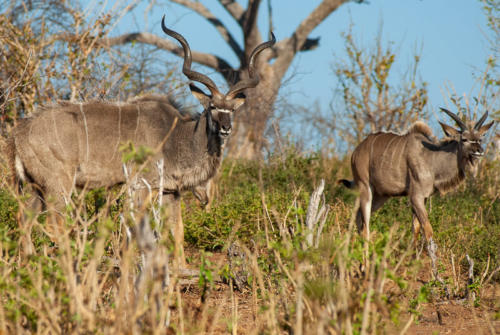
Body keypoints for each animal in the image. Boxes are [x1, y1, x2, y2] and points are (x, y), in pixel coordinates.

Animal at [3, 15, 276, 262]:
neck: (176, 136)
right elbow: (136, 232)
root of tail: (19, 132)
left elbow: (177, 231)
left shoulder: (169, 191)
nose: (226, 128)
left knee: (24, 220)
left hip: (36, 188)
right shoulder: (141, 186)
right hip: (59, 185)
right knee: (55, 224)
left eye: (231, 110)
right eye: (212, 107)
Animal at [338, 109, 494, 280]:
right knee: (365, 225)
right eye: (464, 139)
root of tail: (356, 151)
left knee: (358, 218)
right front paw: (436, 275)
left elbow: (416, 230)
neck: (432, 160)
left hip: (381, 196)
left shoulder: (422, 198)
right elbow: (428, 233)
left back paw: (359, 265)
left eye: (479, 138)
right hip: (365, 188)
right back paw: (365, 268)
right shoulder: (416, 197)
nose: (479, 151)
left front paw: (410, 269)